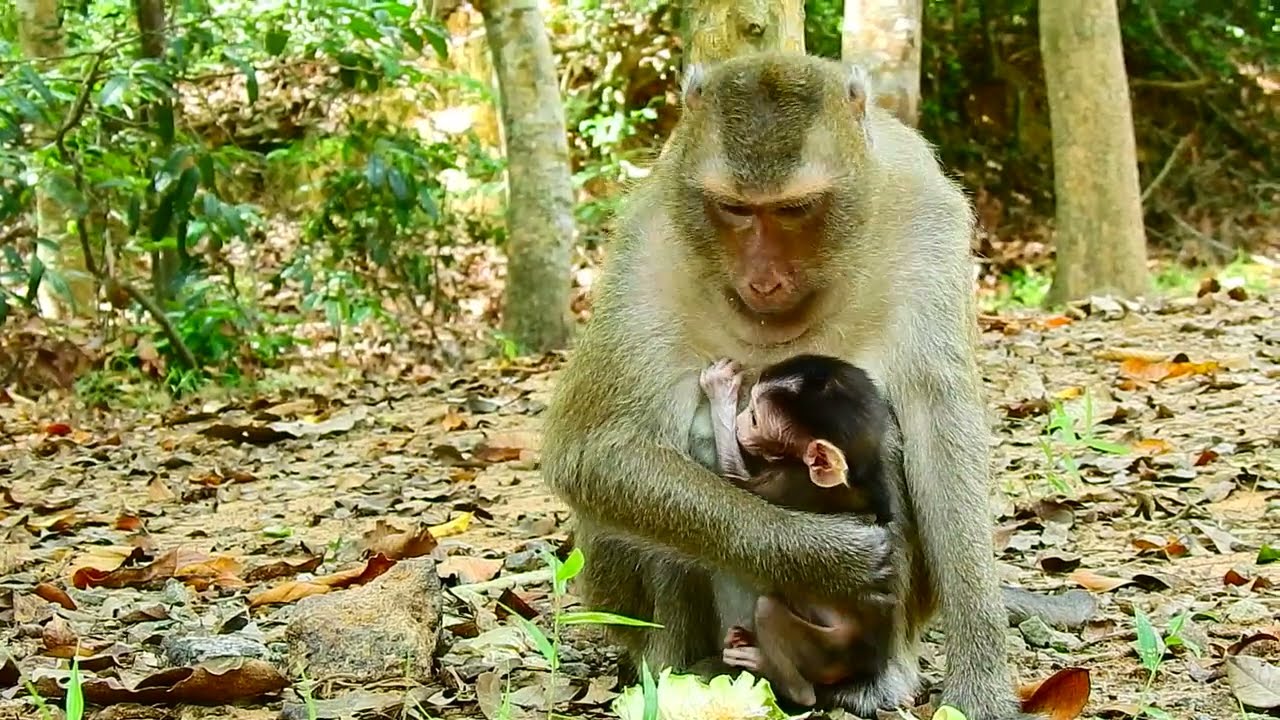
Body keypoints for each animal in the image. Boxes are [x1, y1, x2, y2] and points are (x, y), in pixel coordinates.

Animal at [698, 354, 896, 707]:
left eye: (754, 418)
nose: (740, 421)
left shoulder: (789, 484)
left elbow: (734, 481)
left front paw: (720, 390)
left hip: (829, 650)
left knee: (771, 617)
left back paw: (770, 670)